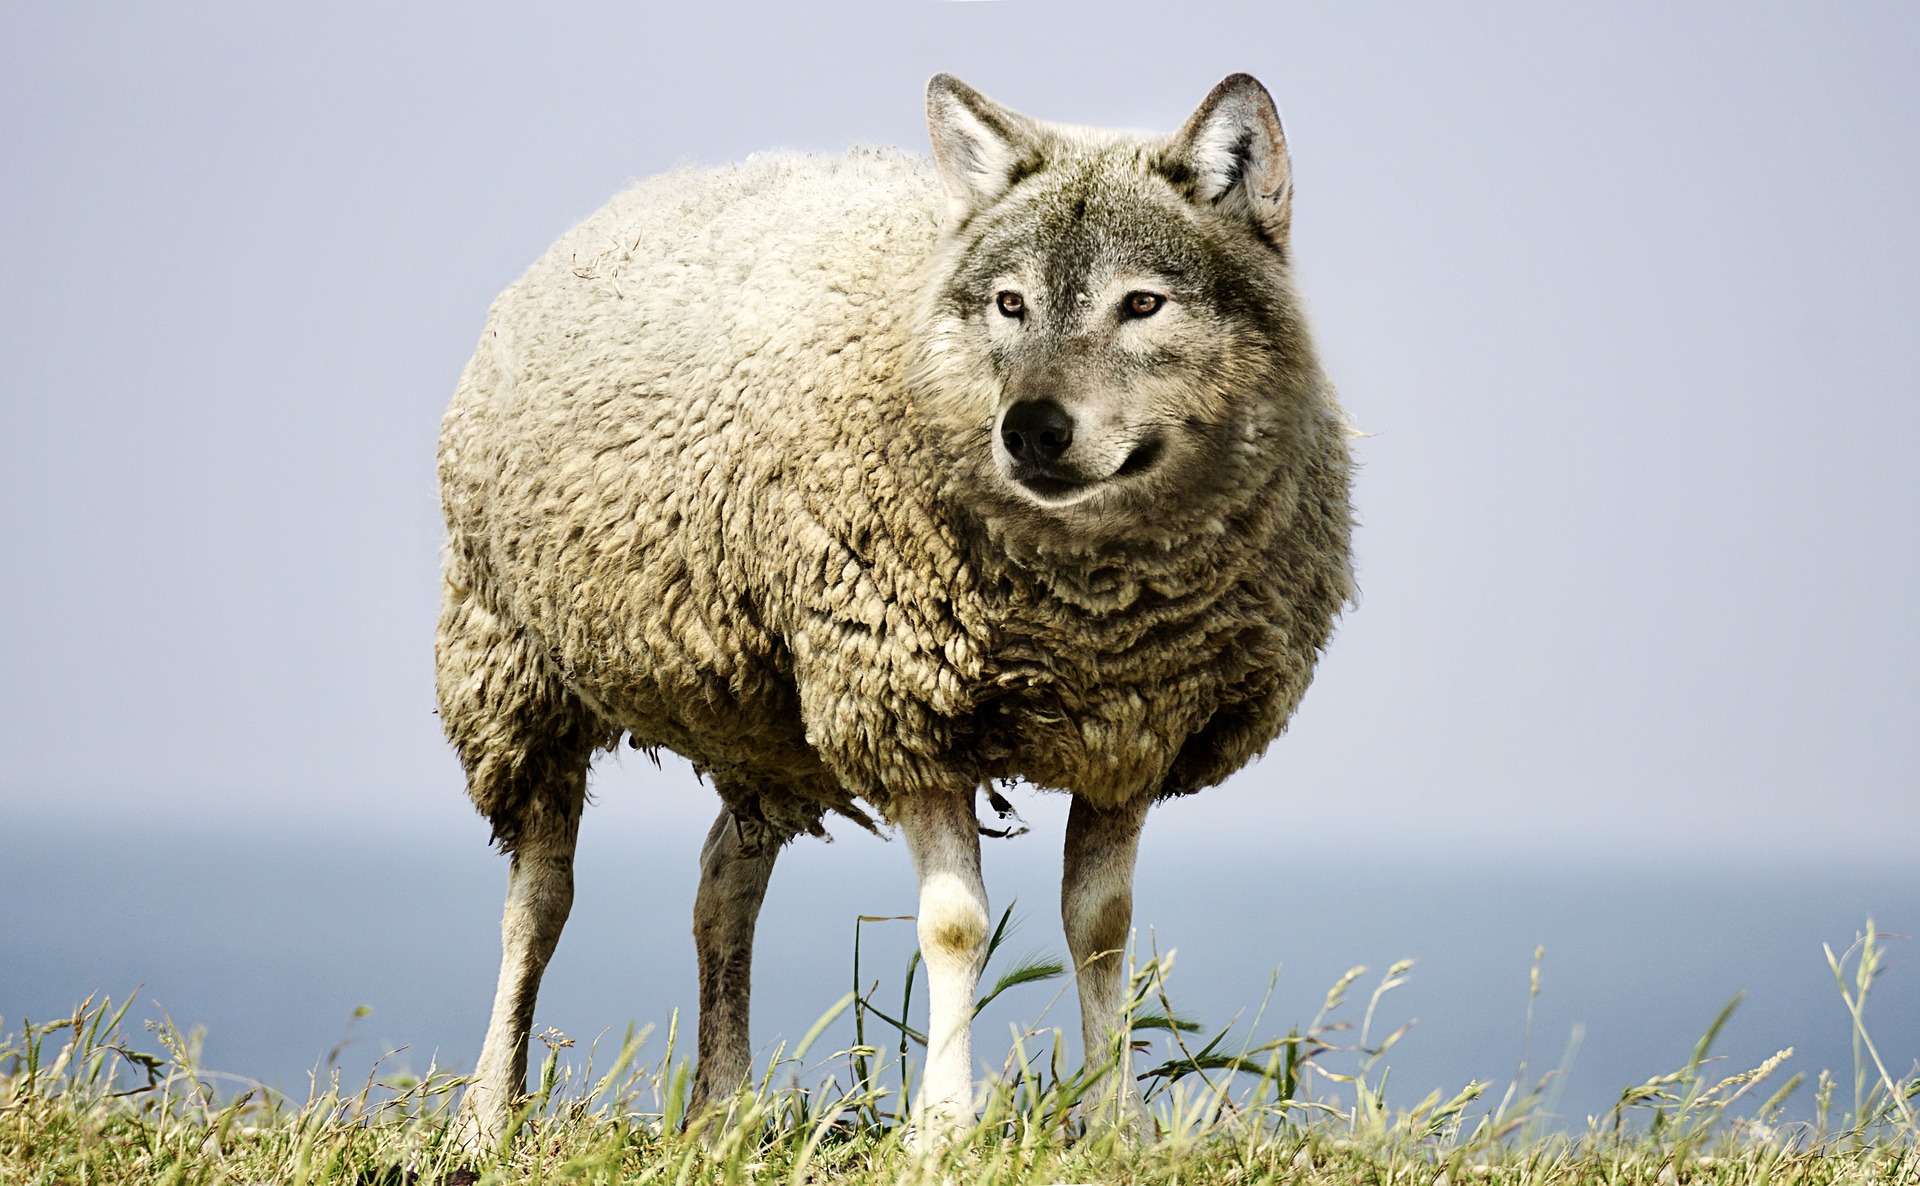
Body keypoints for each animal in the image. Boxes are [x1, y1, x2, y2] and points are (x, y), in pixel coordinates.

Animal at [437, 72, 1353, 1147]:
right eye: (1009, 303)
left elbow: (1101, 928)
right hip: (510, 663)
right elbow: (956, 926)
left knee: (723, 886)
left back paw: (722, 1111)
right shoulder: (904, 708)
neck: (1088, 609)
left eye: (1143, 304)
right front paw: (947, 1129)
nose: (1032, 430)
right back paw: (488, 1113)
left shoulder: (1132, 730)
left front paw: (1115, 1125)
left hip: (765, 723)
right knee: (538, 899)